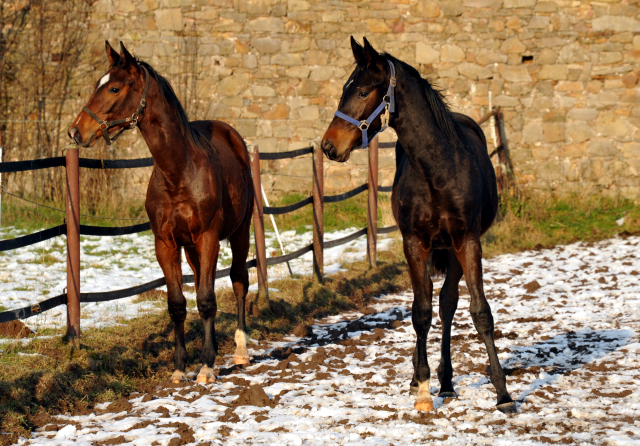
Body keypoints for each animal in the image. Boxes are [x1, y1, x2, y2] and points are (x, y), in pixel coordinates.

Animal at [67, 41, 252, 384]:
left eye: (114, 88)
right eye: (98, 83)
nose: (76, 132)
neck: (178, 172)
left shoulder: (209, 238)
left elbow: (207, 300)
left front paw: (206, 366)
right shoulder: (165, 244)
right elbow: (178, 304)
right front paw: (180, 367)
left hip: (239, 232)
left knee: (239, 280)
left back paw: (240, 350)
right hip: (191, 248)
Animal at [322, 38, 516, 414]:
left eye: (363, 91)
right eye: (344, 91)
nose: (328, 146)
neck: (437, 169)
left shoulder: (467, 242)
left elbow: (479, 312)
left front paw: (503, 394)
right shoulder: (414, 243)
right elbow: (420, 312)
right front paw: (423, 390)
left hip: (451, 250)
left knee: (447, 303)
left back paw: (447, 381)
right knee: (427, 301)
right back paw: (424, 377)